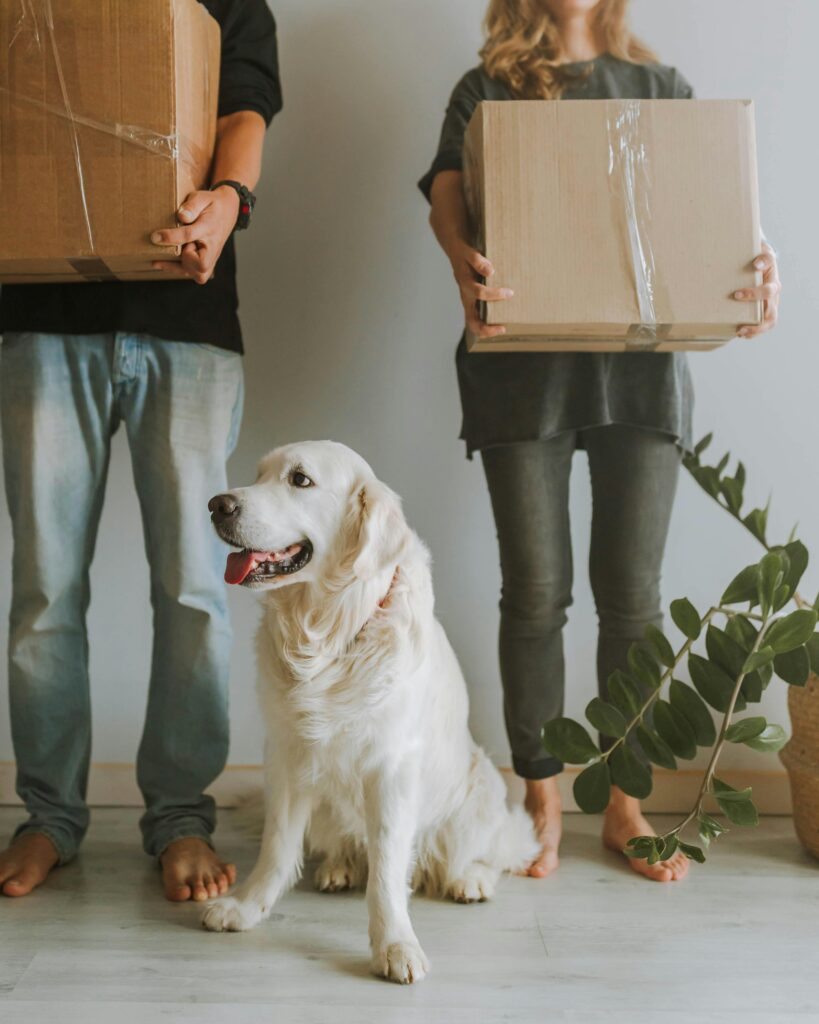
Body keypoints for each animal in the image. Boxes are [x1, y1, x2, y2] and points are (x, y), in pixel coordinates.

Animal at [202, 440, 540, 983]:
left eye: (300, 480)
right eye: (258, 475)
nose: (217, 505)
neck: (329, 637)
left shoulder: (391, 767)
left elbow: (386, 868)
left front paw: (395, 945)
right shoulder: (287, 755)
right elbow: (277, 847)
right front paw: (247, 907)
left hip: (481, 788)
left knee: (492, 850)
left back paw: (470, 879)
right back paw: (338, 867)